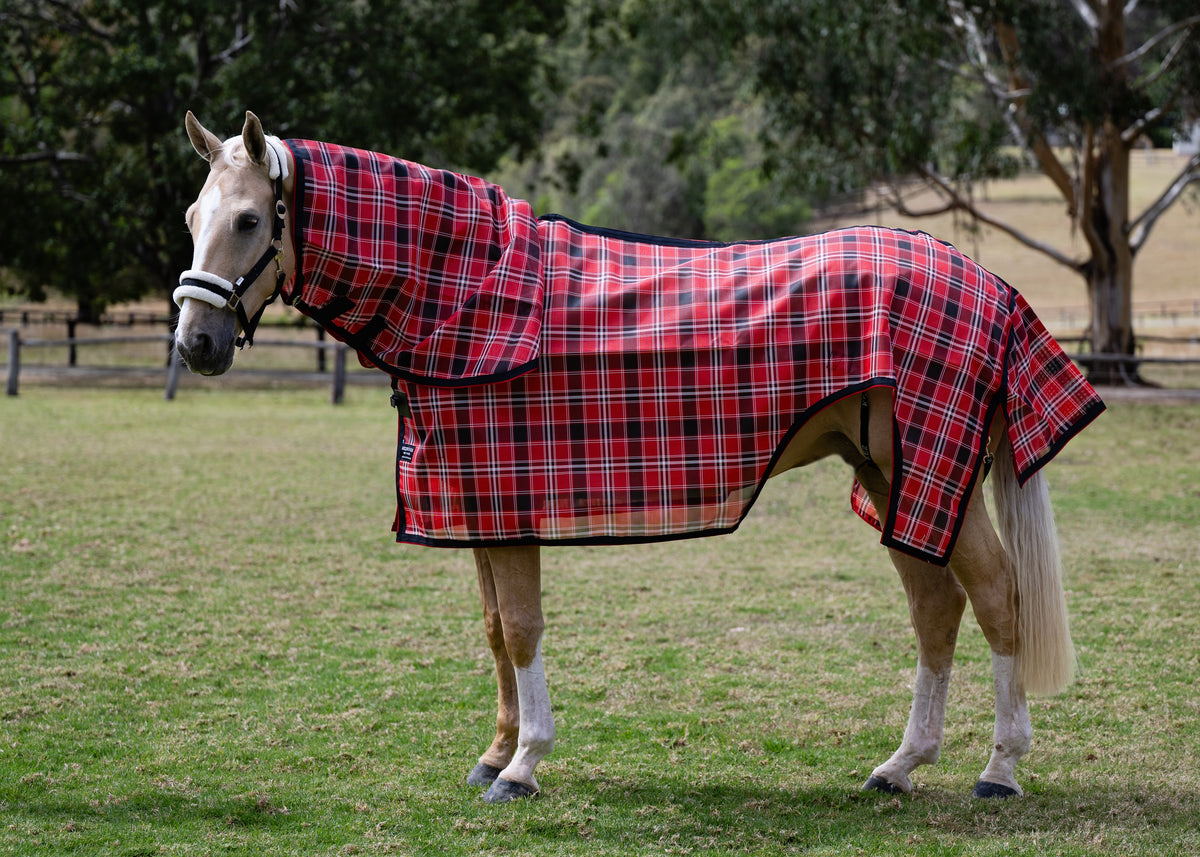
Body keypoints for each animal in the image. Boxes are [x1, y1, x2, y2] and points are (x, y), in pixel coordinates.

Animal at [173, 111, 1104, 804]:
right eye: (191, 221)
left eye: (250, 220)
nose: (196, 343)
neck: (467, 294)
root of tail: (986, 280)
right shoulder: (477, 503)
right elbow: (493, 628)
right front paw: (494, 750)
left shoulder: (509, 506)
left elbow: (521, 627)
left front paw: (523, 764)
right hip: (893, 475)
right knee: (936, 608)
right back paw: (900, 765)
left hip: (937, 474)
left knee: (996, 596)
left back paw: (999, 767)